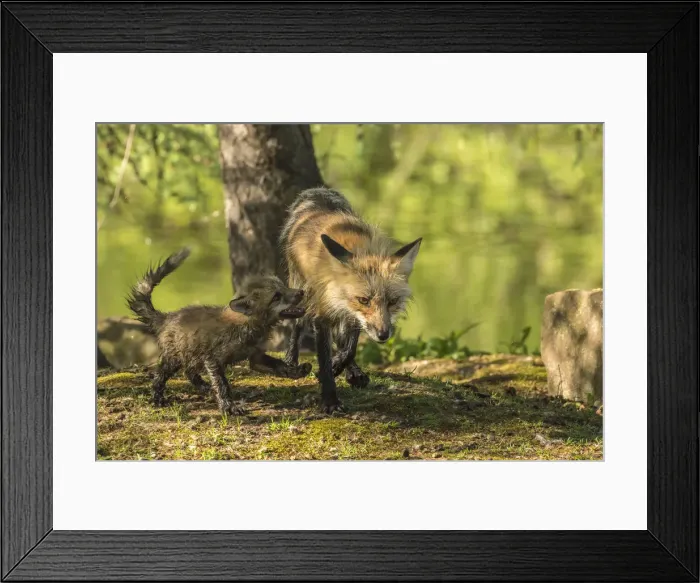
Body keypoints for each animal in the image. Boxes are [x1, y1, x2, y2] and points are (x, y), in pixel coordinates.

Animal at [126, 248, 311, 415]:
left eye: (284, 287)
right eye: (276, 297)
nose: (301, 292)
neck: (248, 327)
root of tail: (167, 316)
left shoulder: (255, 357)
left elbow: (280, 365)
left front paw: (297, 371)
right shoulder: (213, 359)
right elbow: (222, 385)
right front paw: (228, 406)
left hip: (192, 356)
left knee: (189, 372)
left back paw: (205, 388)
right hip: (174, 359)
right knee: (159, 376)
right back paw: (158, 399)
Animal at [279, 187, 421, 413]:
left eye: (392, 301)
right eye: (364, 300)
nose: (383, 335)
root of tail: (317, 194)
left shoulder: (354, 316)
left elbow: (350, 348)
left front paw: (340, 365)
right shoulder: (323, 312)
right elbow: (325, 358)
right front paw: (330, 400)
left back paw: (353, 371)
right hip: (303, 290)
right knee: (298, 325)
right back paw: (291, 361)